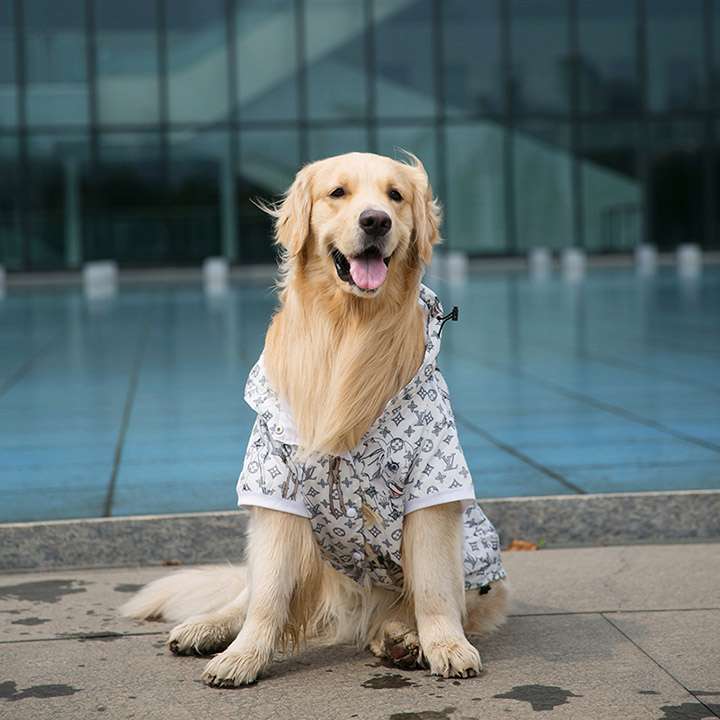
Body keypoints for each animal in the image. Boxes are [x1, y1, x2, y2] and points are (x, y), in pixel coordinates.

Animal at [121, 153, 506, 688]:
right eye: (337, 193)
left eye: (395, 196)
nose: (375, 221)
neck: (349, 331)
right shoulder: (275, 489)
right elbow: (266, 600)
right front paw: (244, 657)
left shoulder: (433, 487)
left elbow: (434, 587)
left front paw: (445, 645)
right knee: (249, 593)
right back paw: (207, 627)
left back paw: (400, 637)